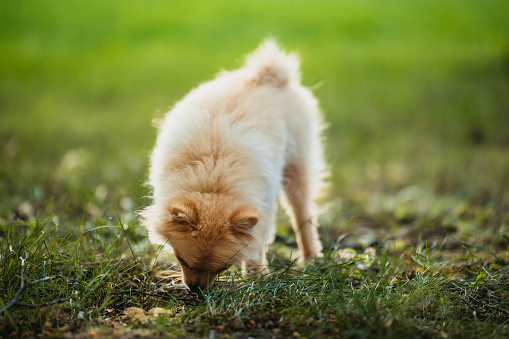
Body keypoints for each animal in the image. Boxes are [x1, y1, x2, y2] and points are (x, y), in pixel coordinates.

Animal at [141, 40, 328, 294]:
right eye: (182, 260)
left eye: (221, 268)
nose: (196, 289)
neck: (212, 178)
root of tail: (268, 77)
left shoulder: (263, 202)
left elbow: (256, 245)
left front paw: (256, 277)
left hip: (297, 164)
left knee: (302, 215)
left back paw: (309, 257)